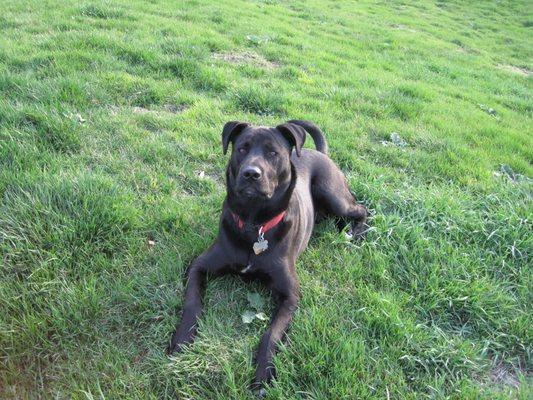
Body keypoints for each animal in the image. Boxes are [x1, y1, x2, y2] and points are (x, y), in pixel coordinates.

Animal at [168, 119, 368, 394]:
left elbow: (271, 334)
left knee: (362, 209)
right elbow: (192, 303)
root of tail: (321, 153)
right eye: (242, 148)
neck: (254, 226)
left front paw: (263, 374)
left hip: (334, 195)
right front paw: (183, 338)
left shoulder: (290, 295)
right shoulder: (199, 266)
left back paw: (354, 233)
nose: (251, 173)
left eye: (273, 152)